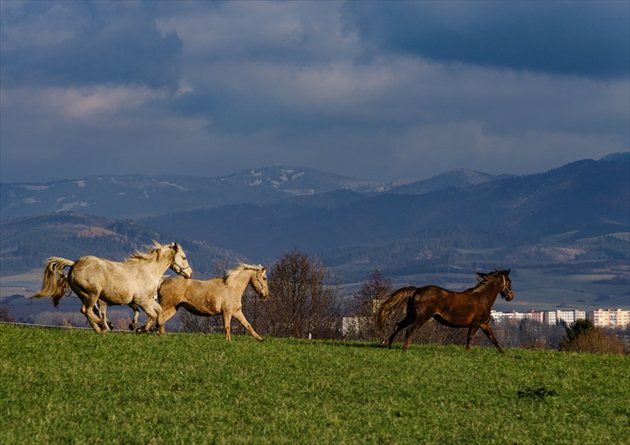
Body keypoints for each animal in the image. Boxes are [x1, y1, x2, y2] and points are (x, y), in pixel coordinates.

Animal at [32, 241, 193, 332]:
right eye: (184, 257)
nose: (189, 273)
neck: (148, 271)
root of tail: (74, 265)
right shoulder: (142, 300)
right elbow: (153, 314)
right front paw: (141, 329)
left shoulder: (147, 300)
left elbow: (158, 311)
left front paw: (151, 329)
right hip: (93, 294)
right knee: (87, 310)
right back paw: (103, 326)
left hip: (85, 295)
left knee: (89, 311)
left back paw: (101, 328)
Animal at [378, 268, 516, 352]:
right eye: (509, 281)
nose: (511, 296)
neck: (482, 298)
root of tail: (416, 290)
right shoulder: (475, 324)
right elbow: (470, 340)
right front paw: (466, 354)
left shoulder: (485, 325)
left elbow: (494, 340)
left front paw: (504, 354)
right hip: (422, 316)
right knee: (410, 329)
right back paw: (404, 349)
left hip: (411, 315)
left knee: (398, 325)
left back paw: (386, 343)